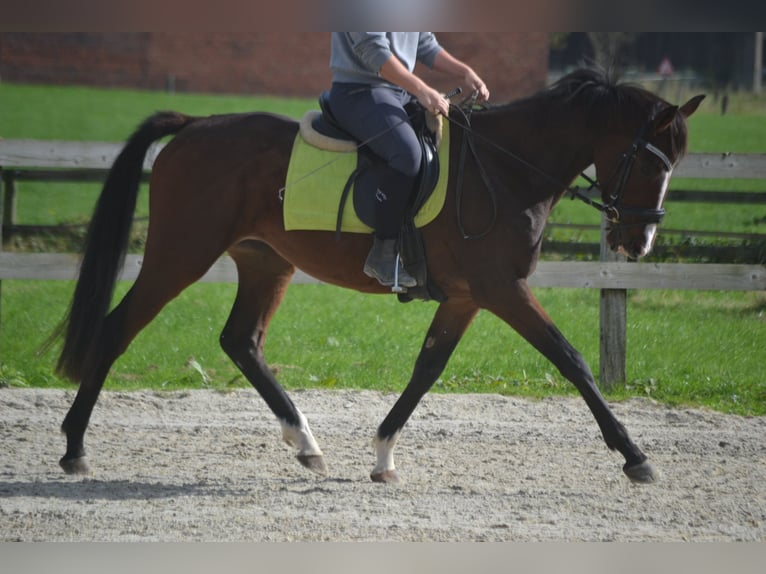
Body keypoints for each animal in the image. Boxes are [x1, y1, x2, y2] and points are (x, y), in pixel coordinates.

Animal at [51, 68, 704, 486]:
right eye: (651, 162)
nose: (639, 242)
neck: (504, 169)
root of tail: (195, 125)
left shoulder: (467, 297)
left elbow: (427, 368)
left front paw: (383, 456)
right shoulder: (503, 290)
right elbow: (572, 359)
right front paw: (635, 456)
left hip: (266, 261)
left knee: (241, 341)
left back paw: (307, 445)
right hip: (180, 254)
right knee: (117, 328)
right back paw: (75, 448)